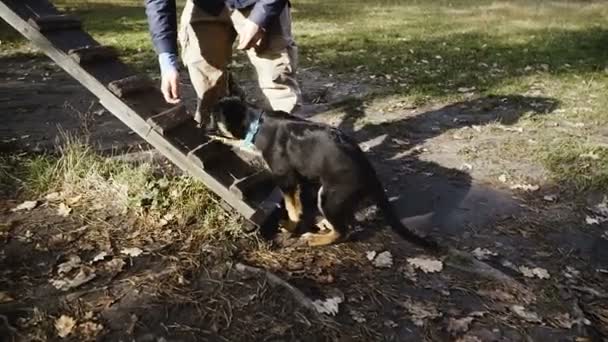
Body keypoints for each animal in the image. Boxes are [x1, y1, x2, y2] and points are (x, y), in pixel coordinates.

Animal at [207, 96, 440, 251]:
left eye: (213, 117)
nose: (203, 125)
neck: (257, 124)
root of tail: (369, 170)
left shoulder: (286, 178)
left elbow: (292, 208)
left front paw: (291, 226)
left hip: (329, 197)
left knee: (344, 231)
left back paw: (315, 239)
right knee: (348, 224)